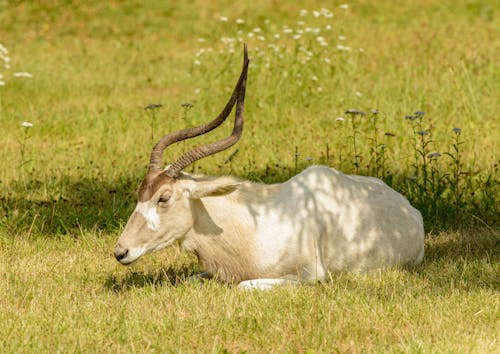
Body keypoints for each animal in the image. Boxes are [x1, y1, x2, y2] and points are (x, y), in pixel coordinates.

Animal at [115, 44, 424, 290]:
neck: (252, 226)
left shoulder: (309, 277)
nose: (121, 251)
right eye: (139, 194)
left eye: (164, 197)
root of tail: (408, 207)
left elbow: (244, 286)